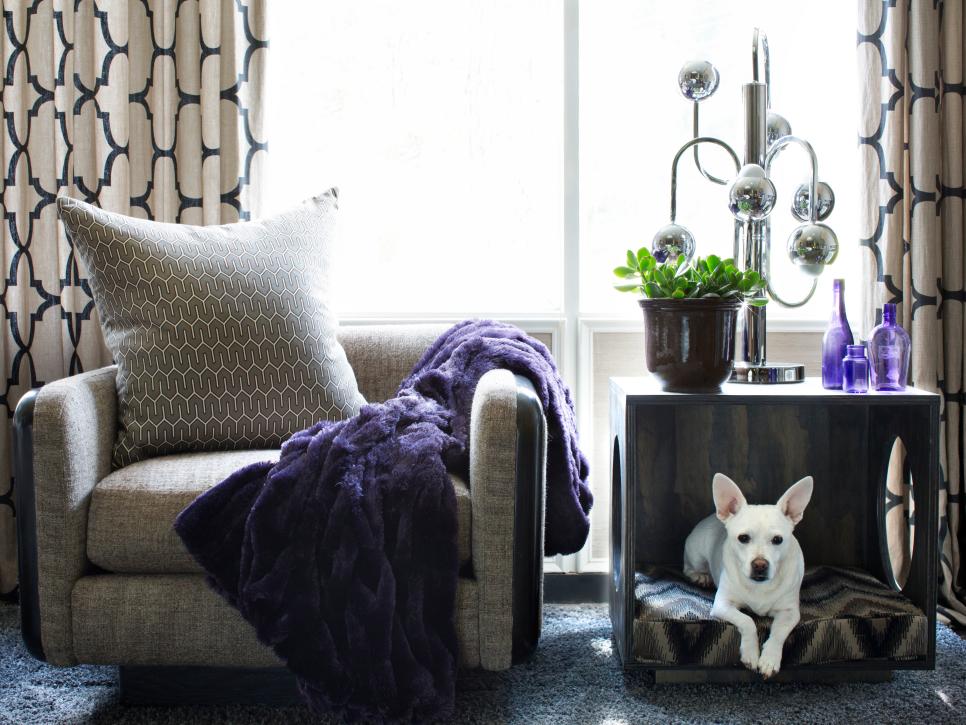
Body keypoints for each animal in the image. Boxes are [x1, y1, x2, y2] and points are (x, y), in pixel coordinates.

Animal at [684, 472, 812, 676]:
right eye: (743, 538)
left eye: (778, 540)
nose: (760, 564)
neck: (759, 586)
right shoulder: (722, 605)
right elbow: (747, 621)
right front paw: (751, 653)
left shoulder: (790, 613)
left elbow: (778, 633)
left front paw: (769, 659)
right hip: (696, 556)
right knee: (688, 567)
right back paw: (700, 576)